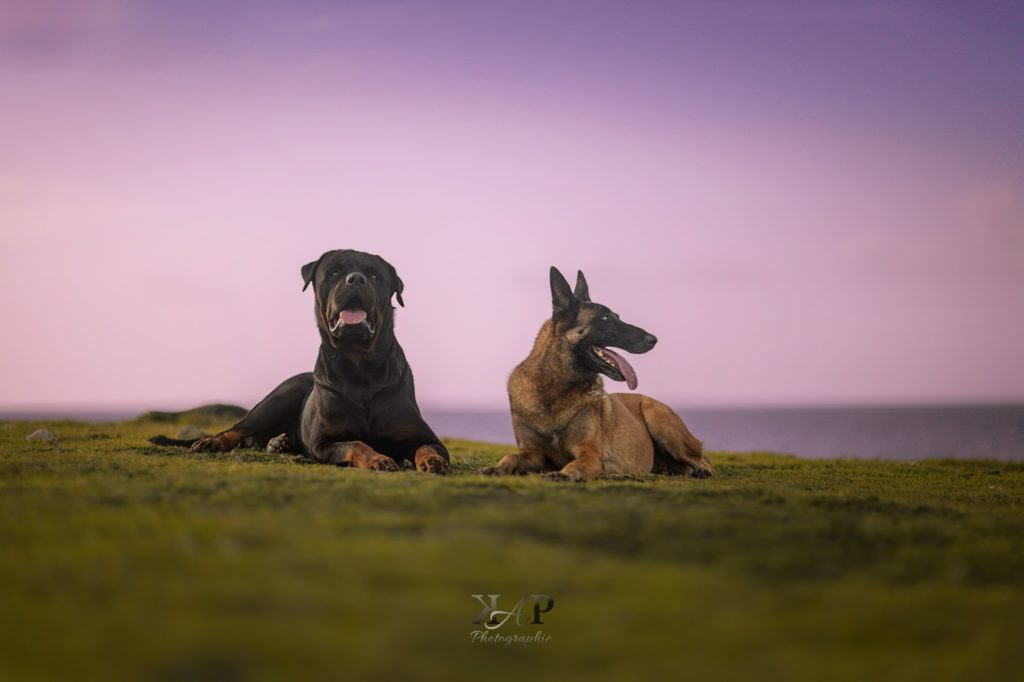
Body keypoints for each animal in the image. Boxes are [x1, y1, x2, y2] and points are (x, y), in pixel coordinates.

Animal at [150, 248, 448, 473]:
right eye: (335, 272)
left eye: (375, 275)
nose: (356, 280)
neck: (360, 364)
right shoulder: (323, 442)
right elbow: (357, 444)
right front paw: (379, 459)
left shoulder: (423, 436)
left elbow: (428, 446)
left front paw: (433, 461)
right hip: (280, 396)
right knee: (238, 430)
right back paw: (213, 442)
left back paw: (277, 444)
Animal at [477, 262, 712, 481]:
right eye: (605, 318)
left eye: (616, 316)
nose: (652, 339)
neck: (557, 388)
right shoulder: (532, 453)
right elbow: (511, 457)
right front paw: (496, 468)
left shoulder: (589, 453)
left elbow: (575, 464)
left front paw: (563, 474)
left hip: (657, 416)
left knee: (701, 458)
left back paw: (702, 470)